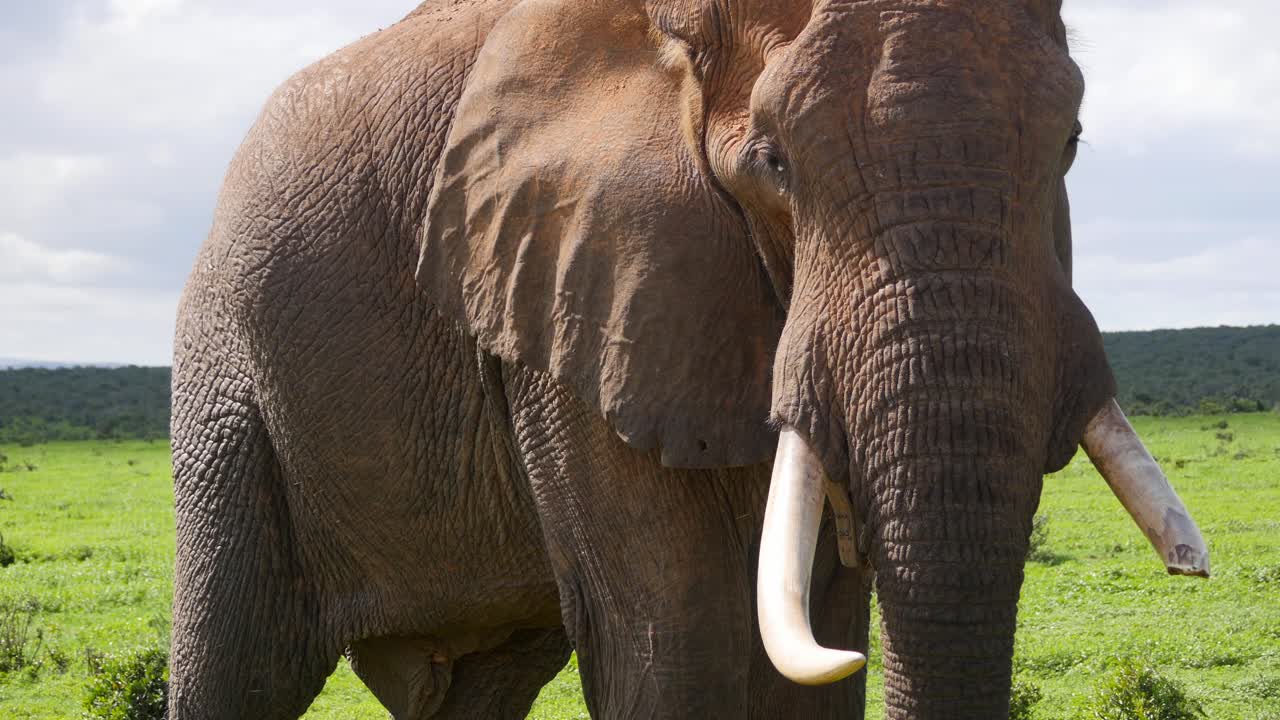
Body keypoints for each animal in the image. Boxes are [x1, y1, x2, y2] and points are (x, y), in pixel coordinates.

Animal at [169, 0, 1210, 718]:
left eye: (1071, 140)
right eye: (775, 164)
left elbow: (815, 646)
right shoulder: (579, 279)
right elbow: (676, 637)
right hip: (228, 370)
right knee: (237, 663)